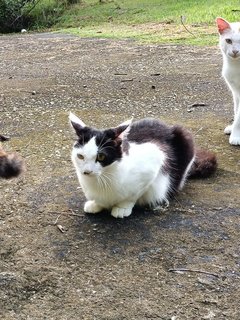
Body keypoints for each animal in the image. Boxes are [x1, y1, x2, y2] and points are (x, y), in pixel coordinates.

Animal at [70, 111, 218, 219]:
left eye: (101, 156)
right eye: (80, 156)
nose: (86, 172)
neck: (103, 178)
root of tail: (166, 125)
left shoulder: (154, 164)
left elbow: (133, 195)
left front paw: (122, 207)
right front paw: (96, 204)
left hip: (185, 137)